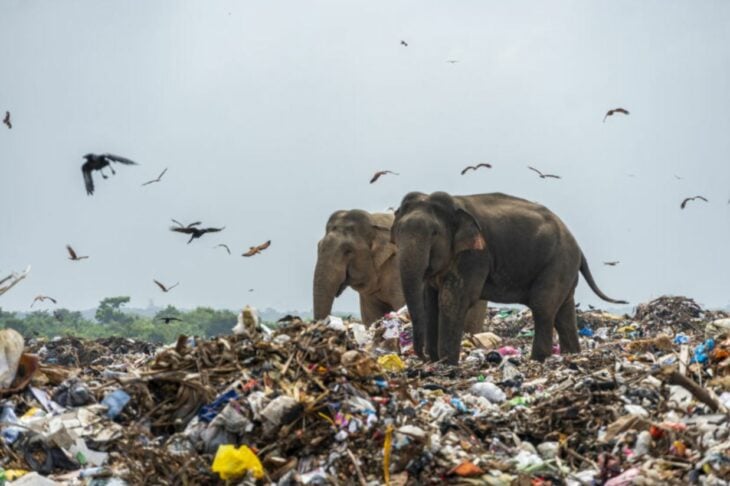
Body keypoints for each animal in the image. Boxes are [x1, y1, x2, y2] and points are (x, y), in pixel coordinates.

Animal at [390, 192, 624, 362]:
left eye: (434, 233)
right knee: (563, 312)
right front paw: (437, 361)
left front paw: (446, 364)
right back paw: (571, 355)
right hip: (564, 269)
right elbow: (430, 301)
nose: (422, 356)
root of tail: (579, 248)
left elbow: (453, 299)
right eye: (398, 232)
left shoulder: (475, 256)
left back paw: (538, 359)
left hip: (558, 263)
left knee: (543, 306)